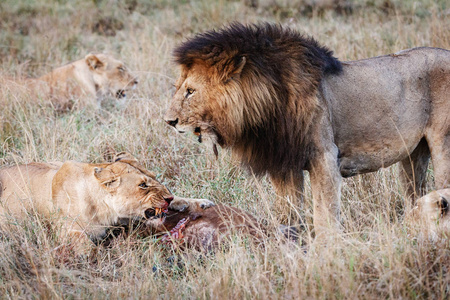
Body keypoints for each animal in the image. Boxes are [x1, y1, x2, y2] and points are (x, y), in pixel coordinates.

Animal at [0, 152, 214, 253]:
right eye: (142, 185)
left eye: (154, 178)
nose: (167, 197)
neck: (105, 211)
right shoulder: (64, 228)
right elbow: (85, 245)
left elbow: (180, 198)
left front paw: (201, 203)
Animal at [164, 22, 450, 237]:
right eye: (178, 88)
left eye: (190, 91)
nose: (169, 121)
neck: (268, 105)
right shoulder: (284, 164)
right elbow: (289, 213)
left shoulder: (325, 158)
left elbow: (325, 215)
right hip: (414, 155)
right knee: (416, 193)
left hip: (443, 144)